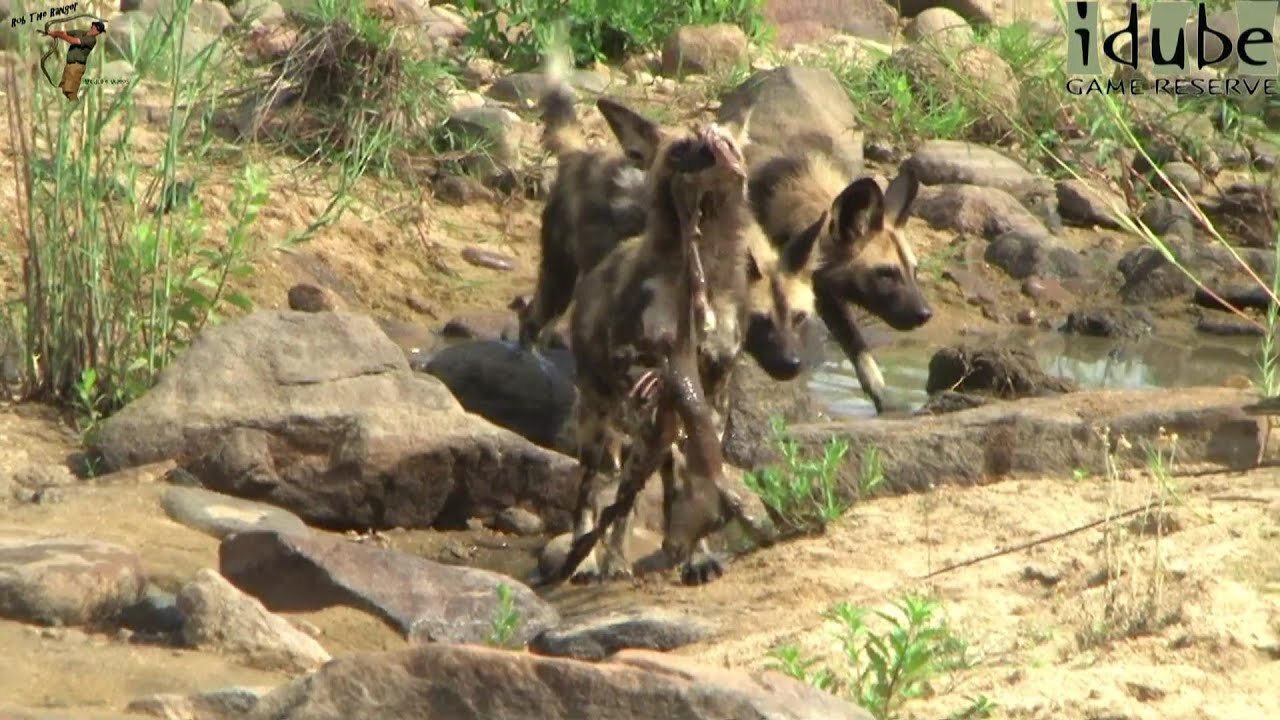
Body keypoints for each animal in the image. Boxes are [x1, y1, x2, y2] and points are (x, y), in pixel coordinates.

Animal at [747, 146, 936, 412]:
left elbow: (860, 351)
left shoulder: (822, 295)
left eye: (914, 271)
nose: (925, 314)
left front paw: (886, 403)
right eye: (886, 273)